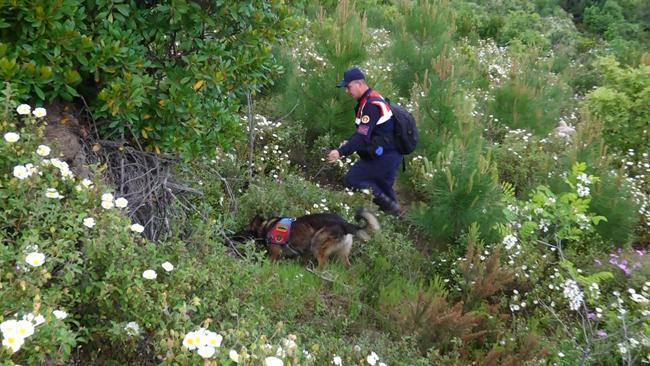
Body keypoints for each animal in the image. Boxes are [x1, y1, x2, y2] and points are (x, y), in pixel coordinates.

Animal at [234, 209, 378, 268]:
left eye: (244, 231)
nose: (231, 236)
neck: (266, 227)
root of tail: (345, 224)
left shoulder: (275, 253)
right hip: (342, 254)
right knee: (348, 266)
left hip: (317, 243)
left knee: (323, 265)